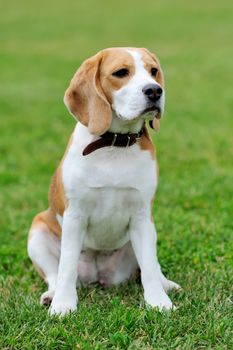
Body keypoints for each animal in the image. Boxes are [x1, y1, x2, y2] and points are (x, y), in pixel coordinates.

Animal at [27, 47, 180, 318]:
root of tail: (98, 274)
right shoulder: (75, 216)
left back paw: (166, 284)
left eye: (153, 71)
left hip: (148, 232)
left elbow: (150, 268)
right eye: (121, 73)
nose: (155, 91)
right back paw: (52, 295)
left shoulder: (141, 216)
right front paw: (63, 305)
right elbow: (66, 266)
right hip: (37, 232)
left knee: (151, 265)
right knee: (54, 273)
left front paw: (159, 303)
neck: (114, 144)